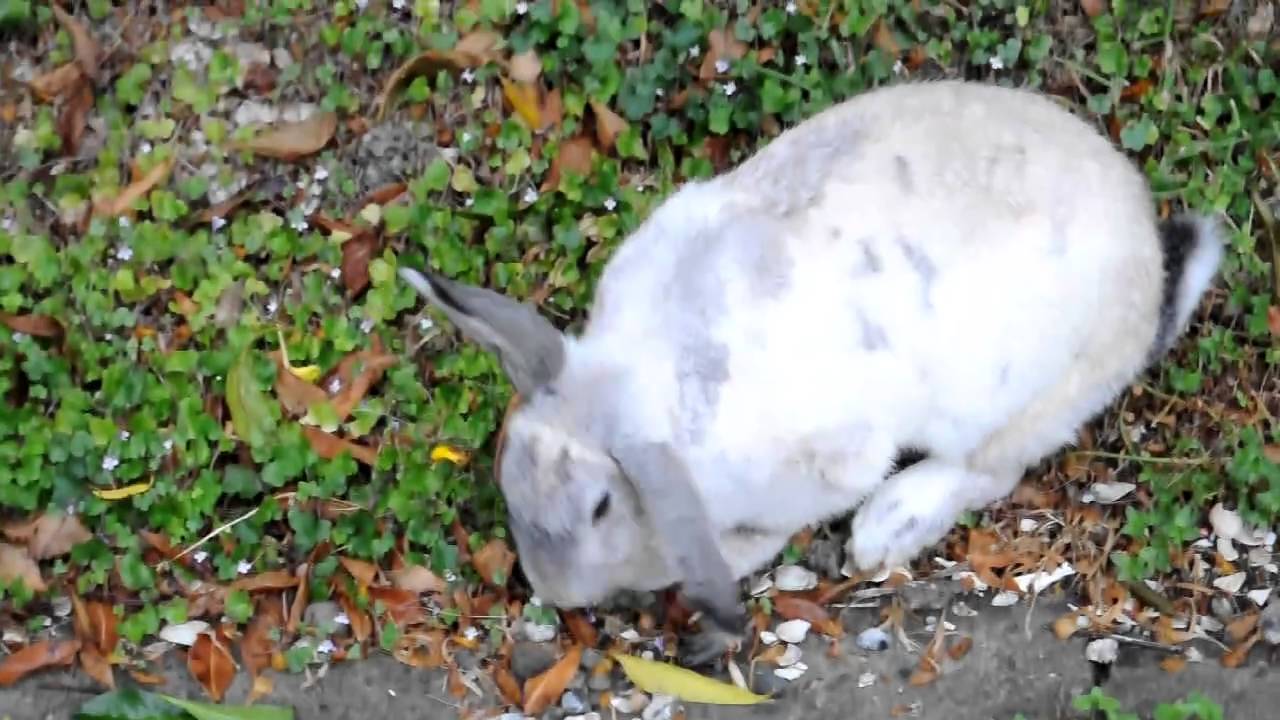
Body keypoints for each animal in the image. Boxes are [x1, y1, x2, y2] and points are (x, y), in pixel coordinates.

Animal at [398, 78, 1224, 663]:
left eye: (600, 507)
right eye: (508, 474)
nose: (552, 589)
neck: (645, 398)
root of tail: (1149, 286)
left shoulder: (822, 468)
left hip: (1005, 400)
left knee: (989, 470)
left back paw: (887, 528)